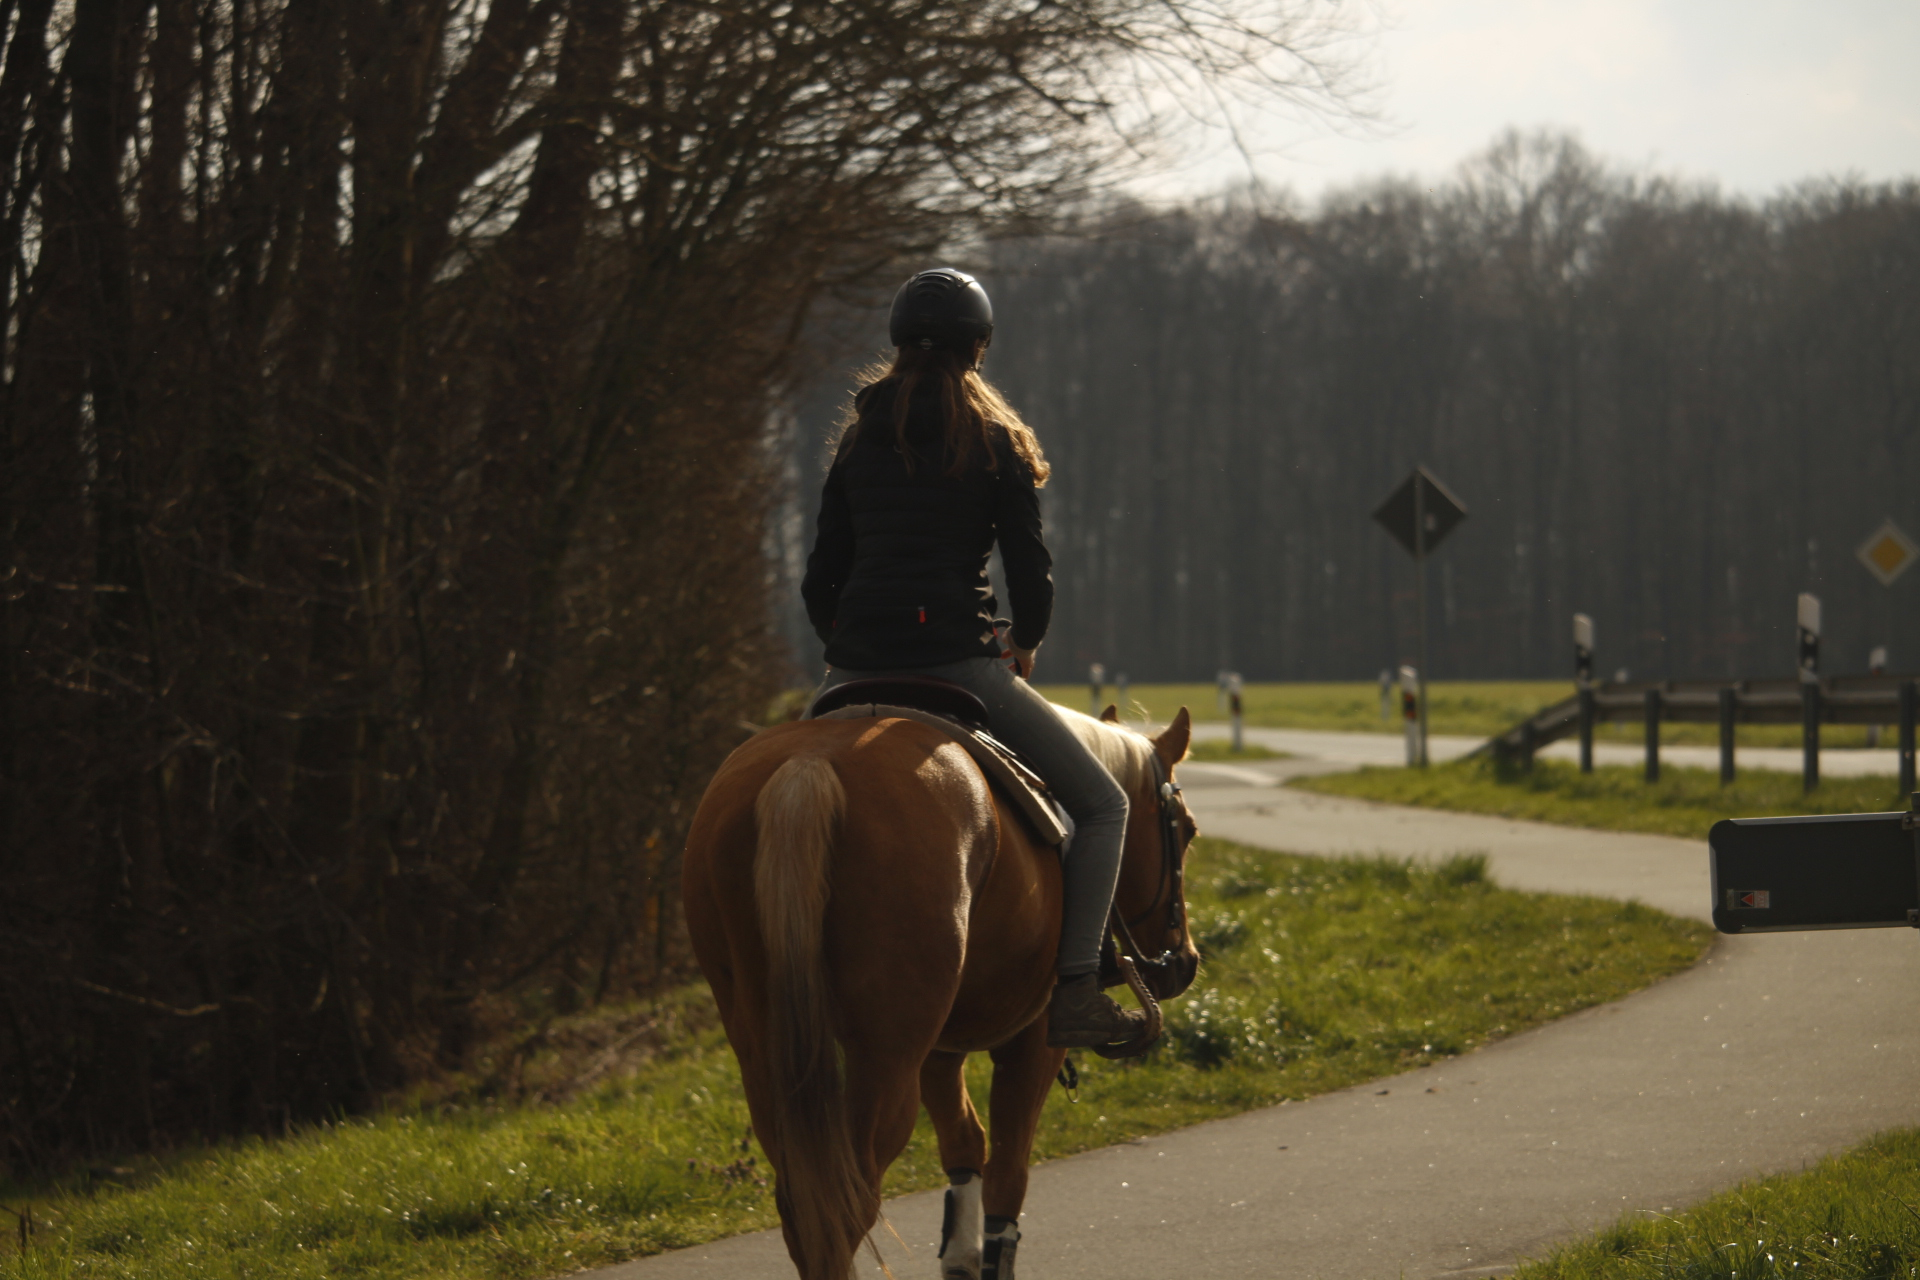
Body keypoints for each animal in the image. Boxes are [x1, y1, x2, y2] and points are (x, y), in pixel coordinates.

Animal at [681, 700, 1199, 1280]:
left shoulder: (938, 1050)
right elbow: (1008, 1171)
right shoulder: (1033, 1041)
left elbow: (965, 1143)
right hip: (885, 1062)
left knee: (804, 1208)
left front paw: (961, 1255)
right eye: (1187, 830)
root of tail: (806, 769)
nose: (1184, 961)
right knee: (848, 1206)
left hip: (769, 1059)